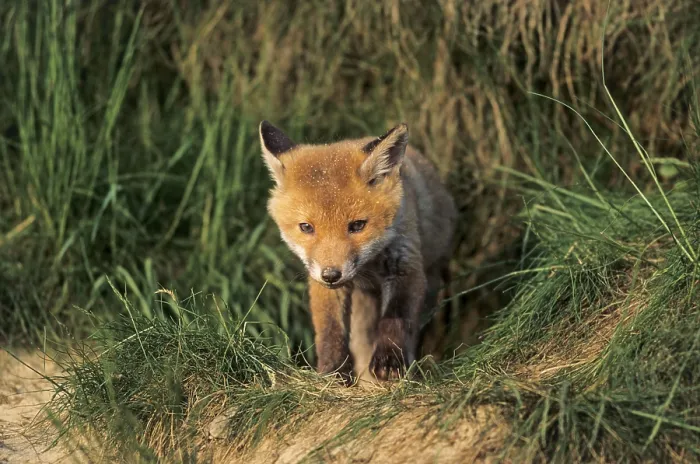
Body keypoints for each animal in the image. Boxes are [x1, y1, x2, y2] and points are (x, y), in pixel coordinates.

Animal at [259, 120, 457, 384]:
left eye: (357, 226)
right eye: (306, 227)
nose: (331, 275)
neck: (369, 266)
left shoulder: (406, 265)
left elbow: (396, 319)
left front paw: (389, 361)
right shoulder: (322, 284)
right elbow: (329, 331)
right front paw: (331, 372)